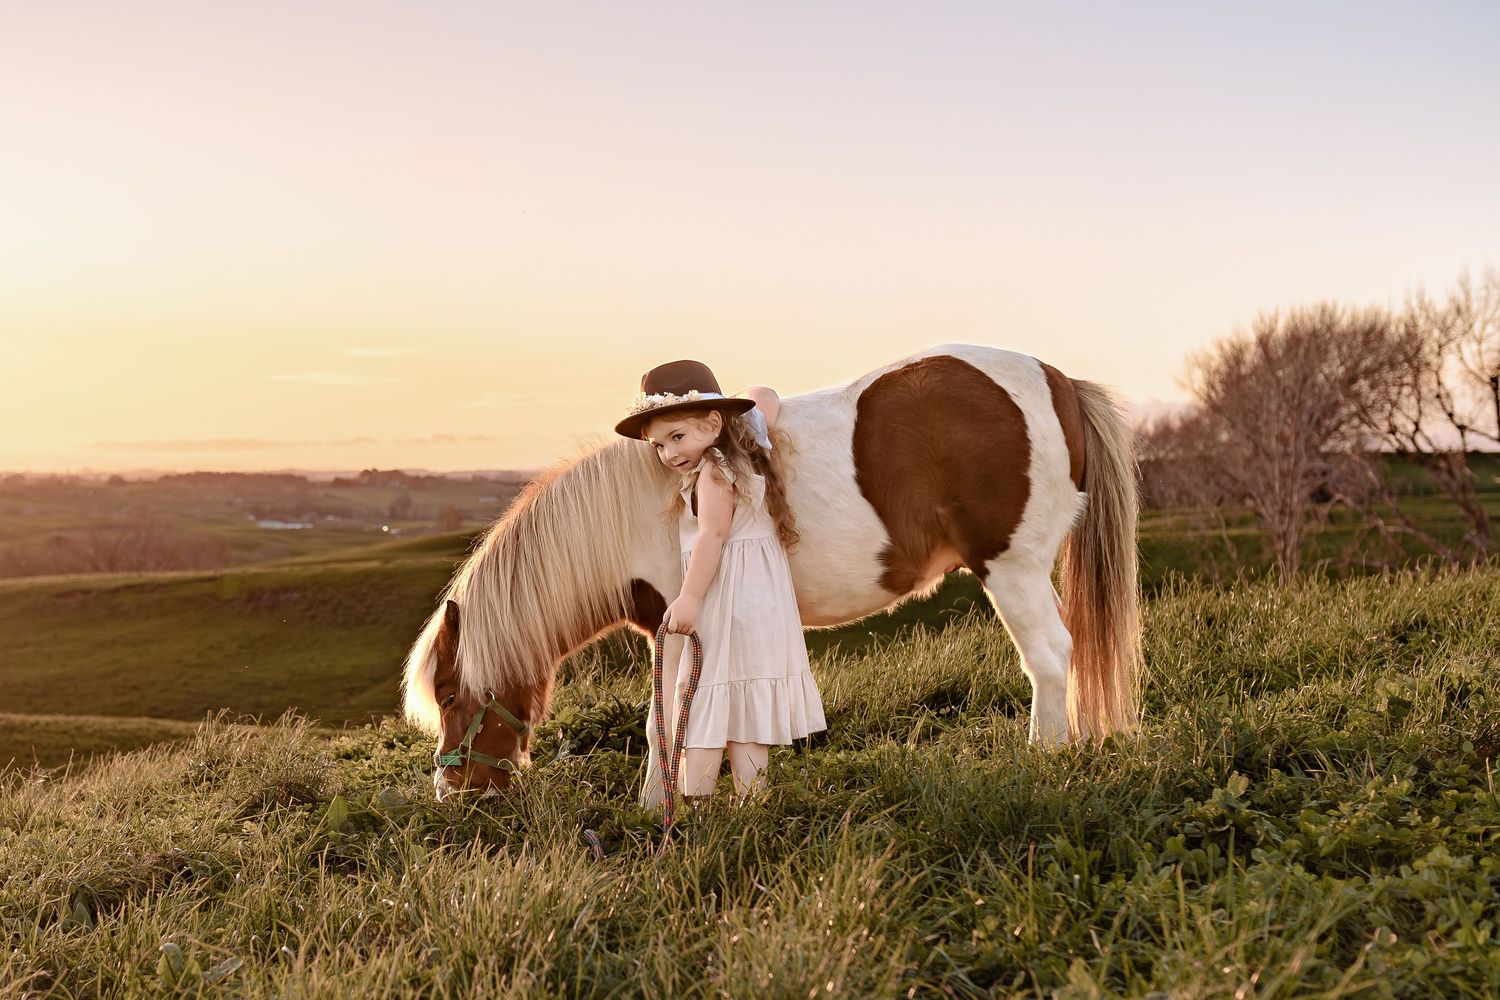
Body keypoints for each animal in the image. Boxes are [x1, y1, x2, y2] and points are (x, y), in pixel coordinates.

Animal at [402, 343, 1141, 801]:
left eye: (450, 696)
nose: (453, 795)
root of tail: (1056, 380)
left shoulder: (675, 621)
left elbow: (666, 719)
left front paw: (658, 807)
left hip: (1010, 567)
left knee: (1049, 656)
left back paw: (1044, 757)